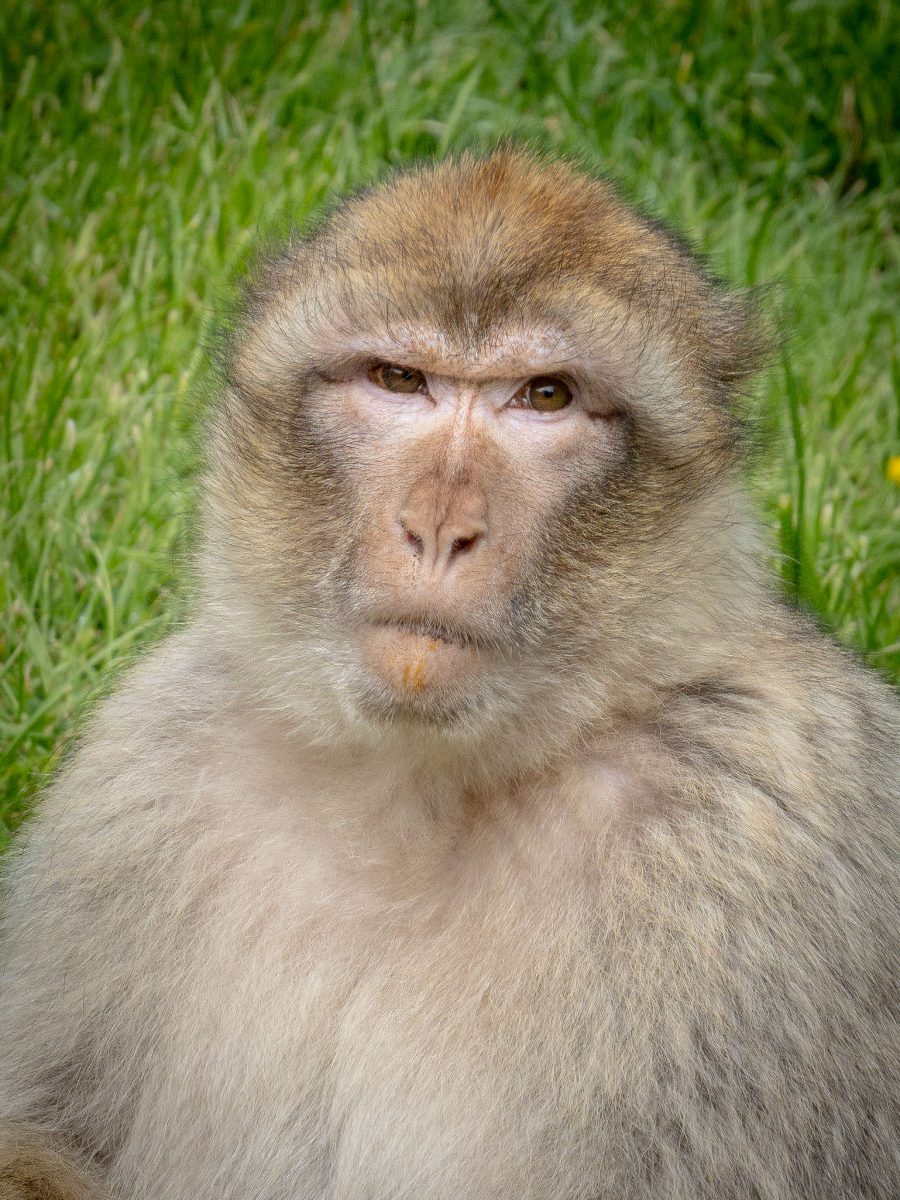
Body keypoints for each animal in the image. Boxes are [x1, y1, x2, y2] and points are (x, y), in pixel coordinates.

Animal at [0, 148, 897, 1200]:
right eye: (400, 379)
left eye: (545, 397)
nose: (438, 526)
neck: (415, 789)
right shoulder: (142, 773)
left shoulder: (753, 843)